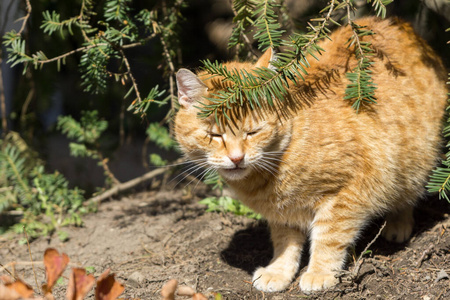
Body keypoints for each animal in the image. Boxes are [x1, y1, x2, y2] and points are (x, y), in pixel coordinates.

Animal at [174, 17, 448, 292]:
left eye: (253, 132)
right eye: (214, 135)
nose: (237, 158)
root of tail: (398, 23)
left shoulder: (346, 194)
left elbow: (329, 237)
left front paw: (320, 272)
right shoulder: (282, 213)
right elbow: (285, 242)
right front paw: (279, 271)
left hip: (413, 159)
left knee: (407, 193)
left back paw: (398, 223)